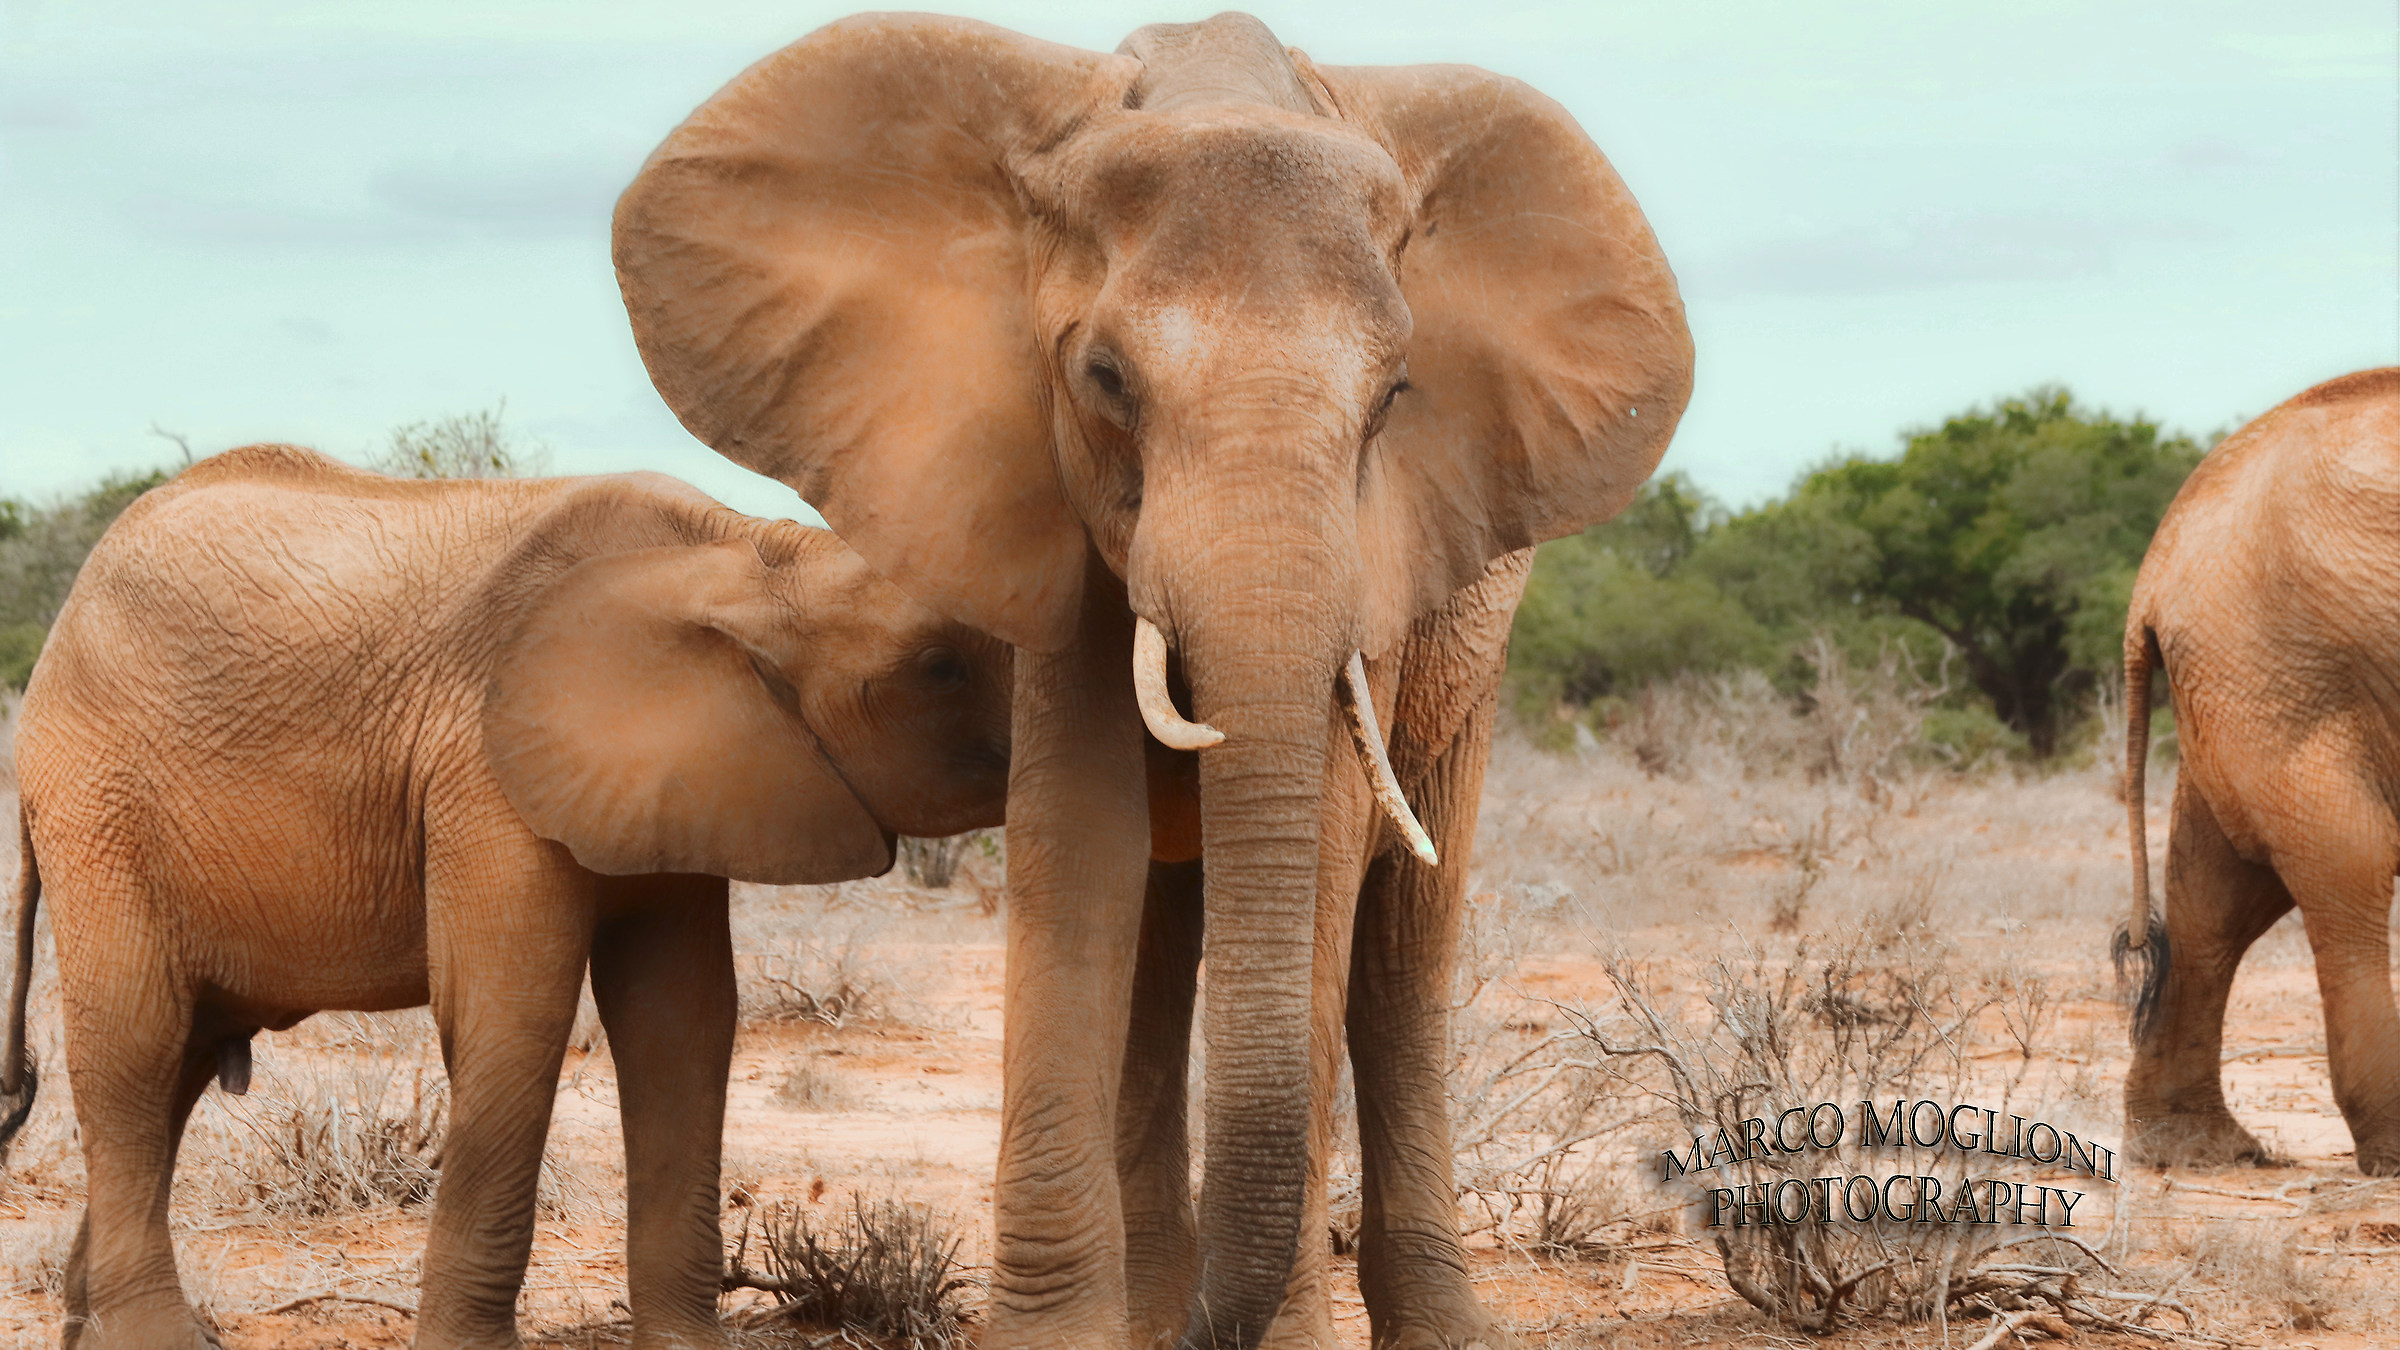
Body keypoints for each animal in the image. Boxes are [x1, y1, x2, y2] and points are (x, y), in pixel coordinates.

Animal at [0, 443, 1013, 1349]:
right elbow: (514, 1011)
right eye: (941, 666)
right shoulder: (482, 770)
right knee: (136, 1046)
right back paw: (155, 1338)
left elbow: (682, 1021)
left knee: (179, 1062)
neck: (745, 549)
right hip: (100, 807)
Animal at [612, 12, 1691, 1347]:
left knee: (1401, 944)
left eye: (1395, 397)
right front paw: (1062, 1333)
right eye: (1107, 381)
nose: (1208, 1329)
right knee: (1171, 926)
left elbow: (1327, 847)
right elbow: (1081, 842)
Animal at [2118, 367, 2400, 1176]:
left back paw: (2196, 1150)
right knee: (2347, 866)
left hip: (2242, 681)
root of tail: (2153, 574)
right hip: (2285, 676)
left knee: (2214, 894)